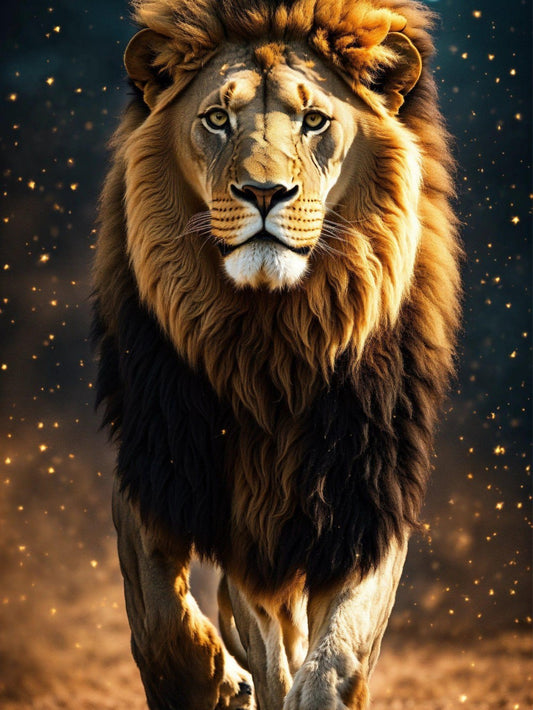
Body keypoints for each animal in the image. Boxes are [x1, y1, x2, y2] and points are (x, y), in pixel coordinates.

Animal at [92, 0, 461, 708]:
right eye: (217, 118)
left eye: (314, 120)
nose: (264, 193)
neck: (271, 335)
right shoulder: (154, 461)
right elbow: (161, 621)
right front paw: (214, 680)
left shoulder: (366, 493)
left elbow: (336, 658)